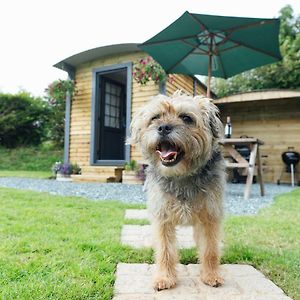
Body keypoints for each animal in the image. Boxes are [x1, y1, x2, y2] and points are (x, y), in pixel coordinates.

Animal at [129, 92, 225, 290]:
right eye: (155, 117)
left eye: (186, 118)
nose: (163, 127)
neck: (182, 176)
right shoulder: (162, 218)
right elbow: (165, 250)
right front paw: (165, 278)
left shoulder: (210, 217)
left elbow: (210, 249)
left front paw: (211, 275)